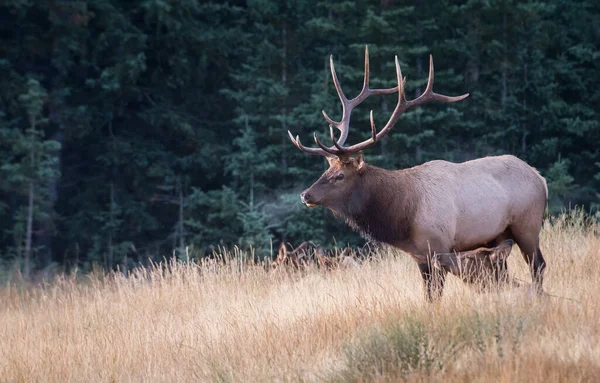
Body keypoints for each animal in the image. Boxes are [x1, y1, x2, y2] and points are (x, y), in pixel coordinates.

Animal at [288, 46, 548, 302]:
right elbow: (428, 296)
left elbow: (436, 295)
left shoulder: (438, 247)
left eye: (340, 176)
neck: (404, 216)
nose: (305, 195)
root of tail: (541, 178)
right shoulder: (420, 257)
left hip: (527, 224)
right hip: (498, 234)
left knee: (538, 265)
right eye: (327, 169)